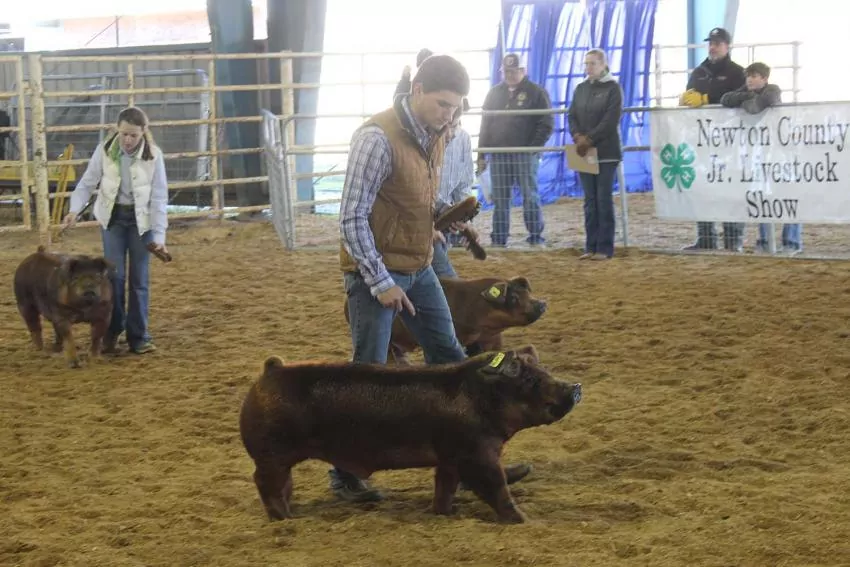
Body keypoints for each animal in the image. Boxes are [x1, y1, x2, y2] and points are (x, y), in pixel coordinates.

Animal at [239, 345, 582, 524]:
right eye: (532, 381)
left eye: (545, 371)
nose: (575, 387)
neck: (480, 398)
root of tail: (270, 370)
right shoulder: (477, 455)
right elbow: (496, 487)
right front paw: (524, 520)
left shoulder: (450, 459)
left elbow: (445, 486)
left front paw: (445, 514)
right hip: (270, 453)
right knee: (263, 482)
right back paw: (285, 519)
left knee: (281, 483)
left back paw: (291, 509)